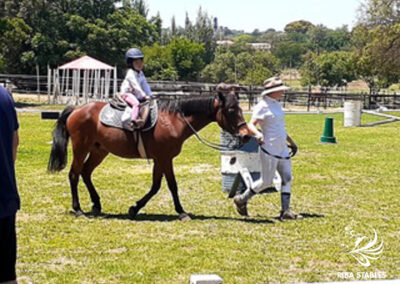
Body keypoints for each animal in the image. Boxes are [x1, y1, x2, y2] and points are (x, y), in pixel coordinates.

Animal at [47, 83, 253, 221]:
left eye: (239, 108)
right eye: (231, 109)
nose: (245, 135)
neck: (174, 120)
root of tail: (77, 109)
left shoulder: (160, 159)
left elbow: (156, 186)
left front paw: (135, 208)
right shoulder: (164, 158)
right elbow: (171, 185)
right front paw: (181, 212)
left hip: (99, 151)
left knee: (86, 173)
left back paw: (96, 204)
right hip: (81, 149)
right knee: (74, 174)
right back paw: (78, 209)